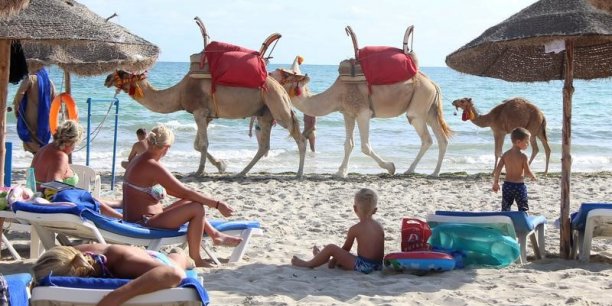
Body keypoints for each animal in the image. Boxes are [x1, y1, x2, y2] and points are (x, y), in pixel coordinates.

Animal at [104, 21, 306, 177]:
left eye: (122, 72)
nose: (107, 79)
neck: (180, 91)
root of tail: (280, 88)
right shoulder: (206, 116)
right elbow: (197, 145)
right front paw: (221, 166)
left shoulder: (199, 112)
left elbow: (202, 144)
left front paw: (200, 171)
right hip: (265, 113)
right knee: (264, 146)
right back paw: (241, 173)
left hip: (277, 106)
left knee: (298, 137)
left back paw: (299, 174)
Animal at [270, 27, 452, 178]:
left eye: (283, 75)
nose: (268, 76)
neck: (337, 93)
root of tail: (433, 84)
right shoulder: (348, 114)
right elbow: (348, 144)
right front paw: (340, 172)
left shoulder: (363, 113)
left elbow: (365, 146)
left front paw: (391, 167)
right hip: (430, 109)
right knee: (441, 139)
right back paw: (432, 172)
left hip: (419, 104)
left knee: (426, 137)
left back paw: (413, 170)